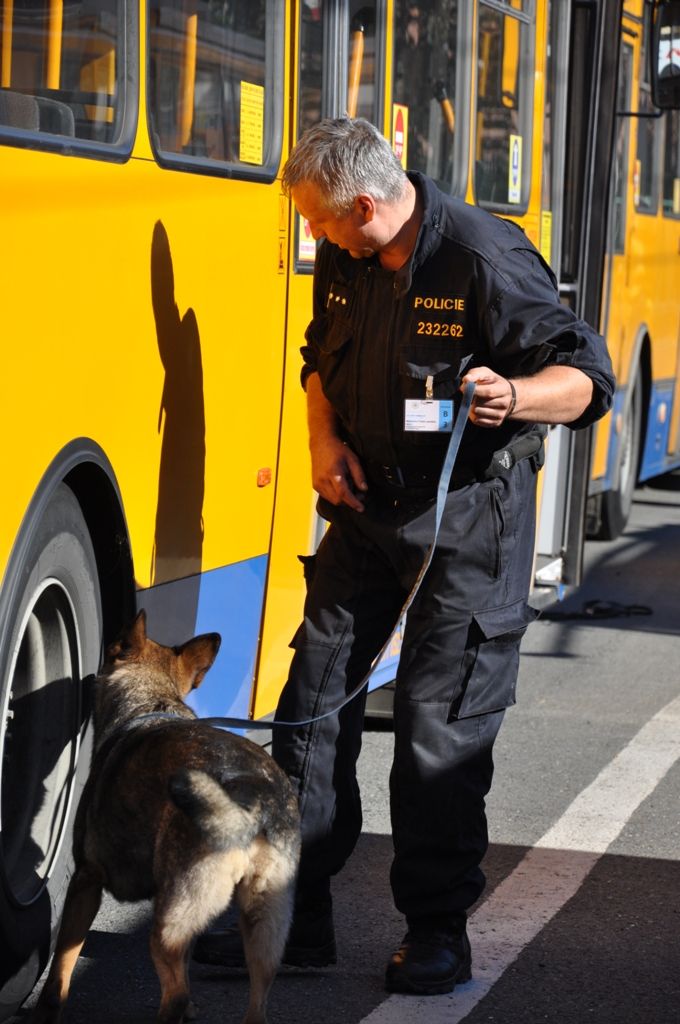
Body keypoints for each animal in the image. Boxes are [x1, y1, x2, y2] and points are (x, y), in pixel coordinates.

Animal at [29, 610, 301, 1019]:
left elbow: (62, 963)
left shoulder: (86, 881)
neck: (152, 701)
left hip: (168, 926)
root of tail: (250, 806)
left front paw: (47, 1007)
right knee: (251, 1003)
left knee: (175, 995)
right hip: (264, 932)